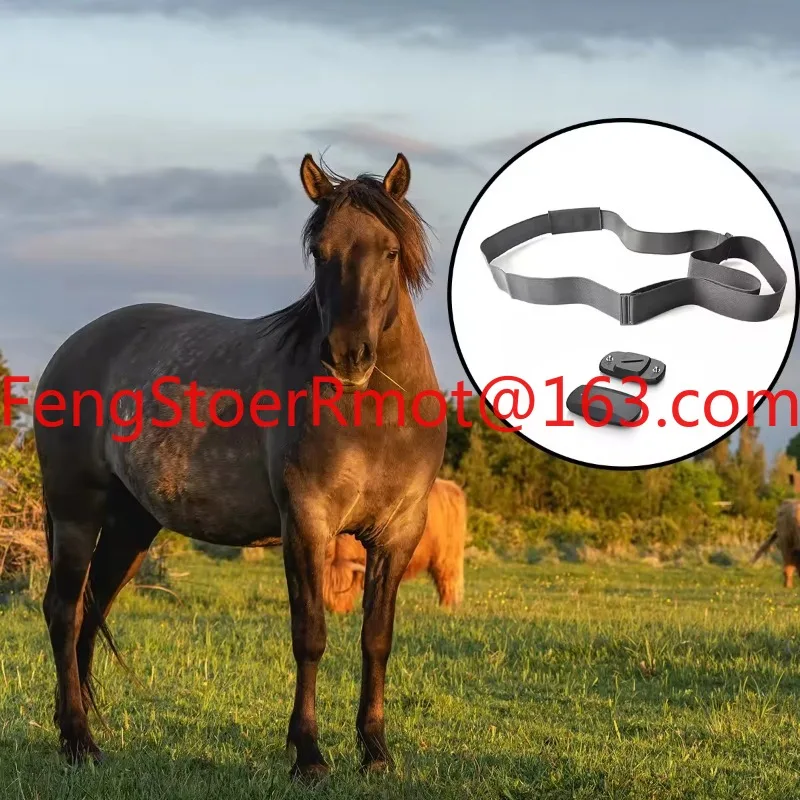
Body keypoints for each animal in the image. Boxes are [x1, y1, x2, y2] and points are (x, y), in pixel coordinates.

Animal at [33, 152, 447, 780]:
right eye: (320, 252)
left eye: (391, 251)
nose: (347, 356)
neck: (377, 417)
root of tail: (70, 350)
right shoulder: (307, 524)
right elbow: (310, 635)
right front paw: (308, 755)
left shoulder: (399, 533)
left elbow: (377, 639)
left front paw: (375, 752)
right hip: (77, 514)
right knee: (63, 611)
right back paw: (80, 742)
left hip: (131, 527)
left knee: (88, 609)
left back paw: (76, 734)